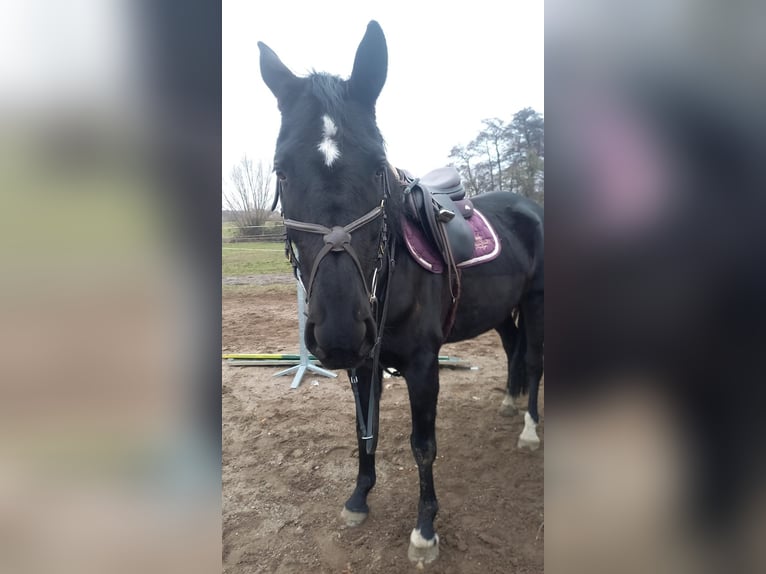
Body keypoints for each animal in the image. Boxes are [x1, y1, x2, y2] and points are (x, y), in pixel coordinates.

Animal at [258, 20, 544, 564]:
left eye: (377, 166)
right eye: (281, 169)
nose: (340, 332)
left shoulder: (423, 364)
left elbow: (422, 445)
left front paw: (425, 529)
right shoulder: (363, 363)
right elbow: (363, 430)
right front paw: (358, 498)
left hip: (538, 303)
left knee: (535, 361)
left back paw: (530, 429)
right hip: (501, 310)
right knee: (517, 346)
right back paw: (508, 402)